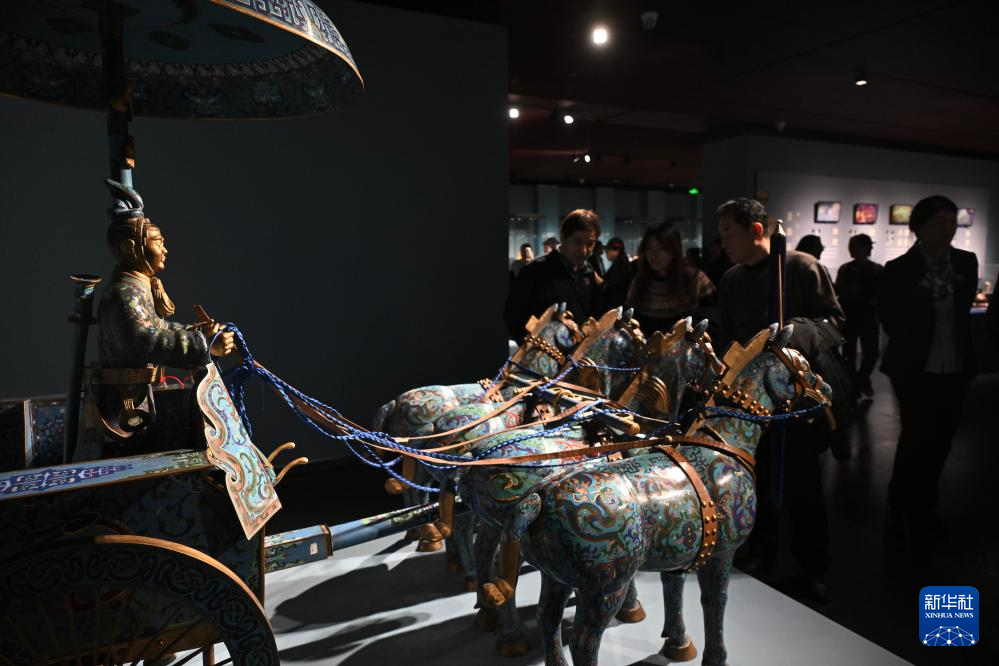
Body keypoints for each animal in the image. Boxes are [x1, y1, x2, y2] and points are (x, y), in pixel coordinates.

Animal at [514, 324, 833, 666]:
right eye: (802, 364)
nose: (827, 390)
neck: (723, 445)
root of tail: (538, 500)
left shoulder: (680, 551)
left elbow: (673, 586)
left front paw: (678, 643)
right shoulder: (722, 555)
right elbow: (714, 601)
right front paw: (715, 657)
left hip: (556, 579)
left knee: (548, 619)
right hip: (604, 588)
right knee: (584, 644)